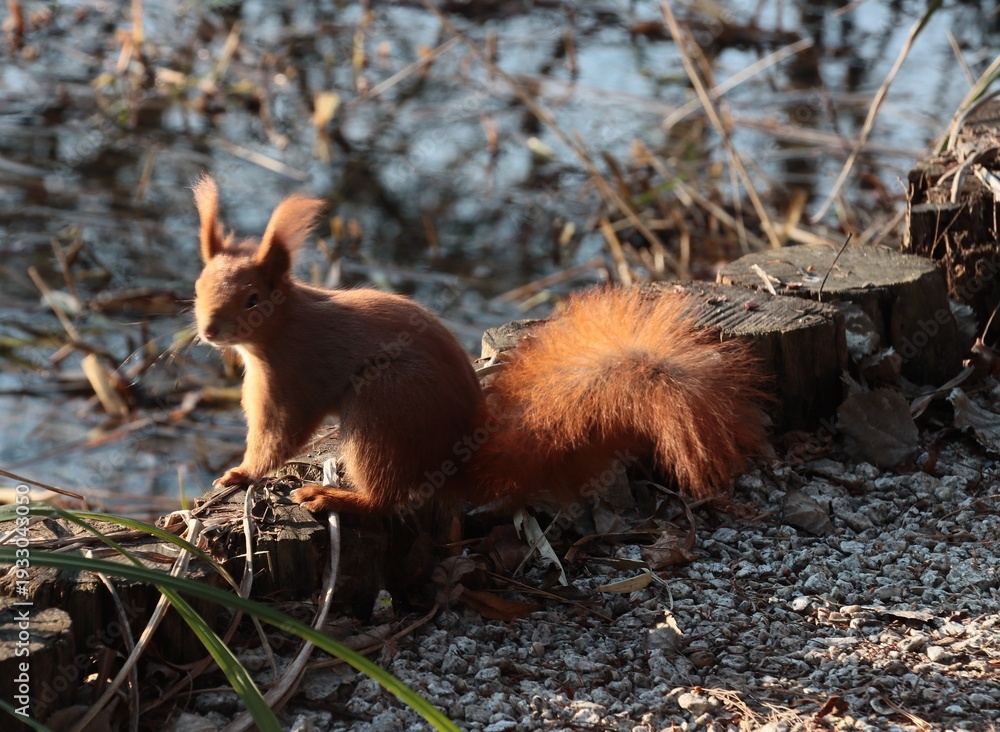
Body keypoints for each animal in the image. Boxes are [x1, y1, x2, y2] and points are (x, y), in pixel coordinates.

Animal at [192, 175, 770, 515]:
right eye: (198, 285)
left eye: (252, 299)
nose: (208, 330)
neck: (281, 328)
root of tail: (456, 462)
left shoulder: (293, 378)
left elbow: (278, 437)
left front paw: (241, 472)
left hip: (384, 409)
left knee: (388, 497)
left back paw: (332, 495)